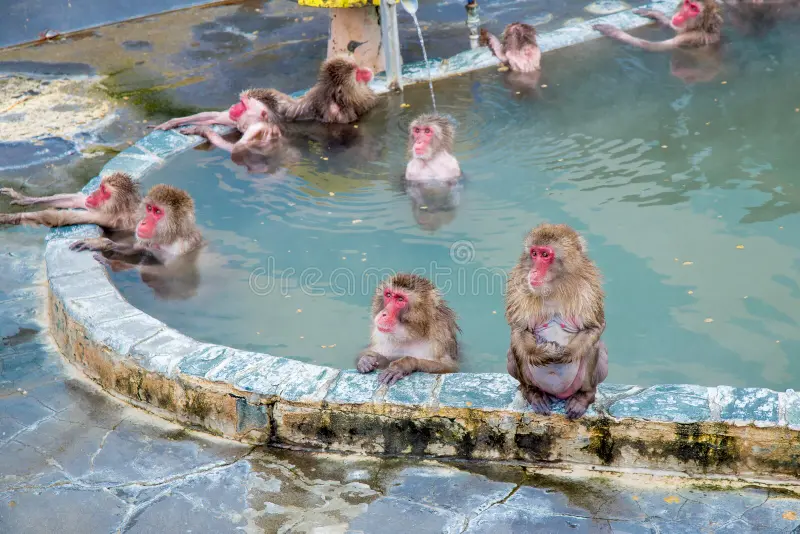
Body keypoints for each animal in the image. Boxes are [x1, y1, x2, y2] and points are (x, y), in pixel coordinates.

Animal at [0, 172, 140, 230]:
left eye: (104, 192)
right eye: (100, 187)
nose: (92, 194)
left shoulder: (104, 216)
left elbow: (57, 217)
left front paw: (6, 217)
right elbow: (75, 200)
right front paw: (21, 198)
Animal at [69, 184, 204, 269]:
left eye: (158, 212)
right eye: (149, 208)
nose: (143, 222)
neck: (170, 238)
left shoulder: (178, 252)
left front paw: (113, 264)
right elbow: (133, 248)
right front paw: (102, 243)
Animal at [505, 224, 609, 419]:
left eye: (545, 255)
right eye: (534, 253)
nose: (534, 271)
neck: (553, 286)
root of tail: (557, 394)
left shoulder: (589, 286)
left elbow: (593, 327)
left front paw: (564, 354)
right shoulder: (518, 283)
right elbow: (519, 329)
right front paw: (541, 354)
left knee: (594, 346)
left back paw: (584, 396)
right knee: (515, 346)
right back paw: (533, 393)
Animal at [593, 0, 722, 51]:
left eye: (694, 8)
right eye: (687, 3)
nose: (681, 14)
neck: (701, 27)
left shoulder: (689, 37)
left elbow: (651, 46)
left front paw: (613, 32)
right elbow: (670, 25)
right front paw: (655, 14)